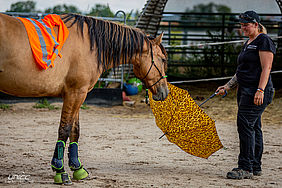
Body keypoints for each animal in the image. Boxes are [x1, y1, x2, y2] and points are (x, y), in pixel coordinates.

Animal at [0, 13, 167, 185]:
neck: (90, 44)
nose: (164, 92)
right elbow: (64, 129)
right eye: (162, 59)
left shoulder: (78, 94)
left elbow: (75, 130)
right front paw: (60, 170)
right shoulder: (75, 93)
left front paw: (77, 168)